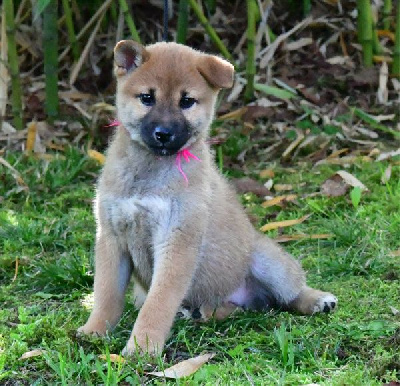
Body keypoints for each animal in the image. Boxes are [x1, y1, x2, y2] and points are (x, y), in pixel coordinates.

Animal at [76, 40, 336, 354]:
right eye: (147, 98)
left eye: (186, 101)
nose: (163, 133)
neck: (150, 171)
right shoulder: (112, 237)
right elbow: (107, 295)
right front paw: (95, 331)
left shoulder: (177, 240)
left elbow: (157, 304)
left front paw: (143, 348)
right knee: (234, 308)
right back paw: (203, 312)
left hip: (268, 262)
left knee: (290, 292)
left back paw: (318, 300)